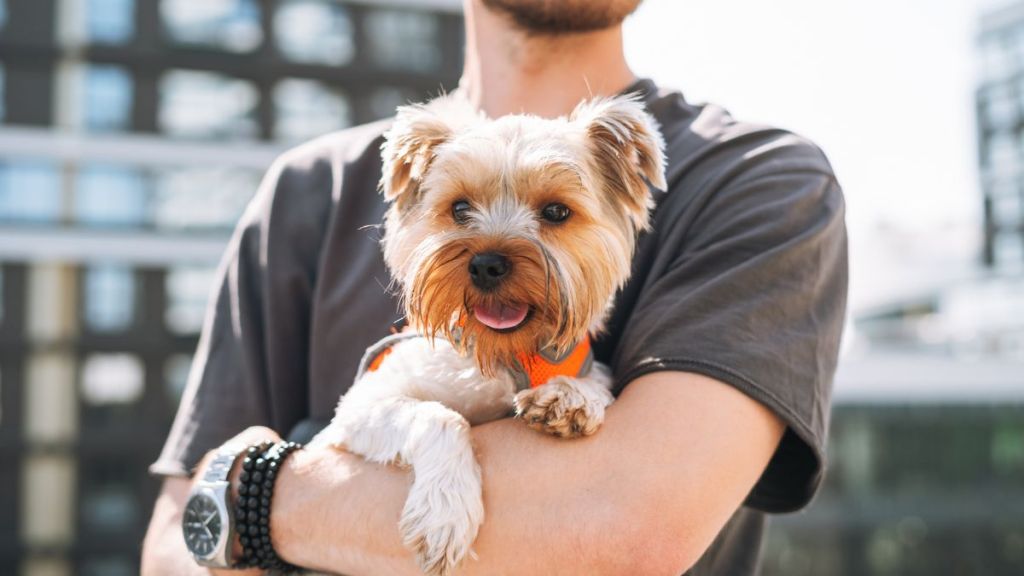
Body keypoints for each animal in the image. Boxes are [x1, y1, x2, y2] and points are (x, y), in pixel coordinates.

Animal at [311, 93, 663, 573]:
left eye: (556, 211)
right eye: (460, 208)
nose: (486, 263)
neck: (504, 355)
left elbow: (593, 382)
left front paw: (569, 396)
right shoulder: (359, 408)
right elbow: (442, 416)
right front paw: (445, 512)